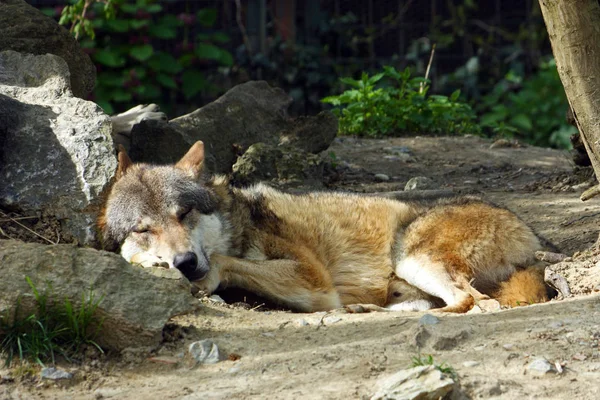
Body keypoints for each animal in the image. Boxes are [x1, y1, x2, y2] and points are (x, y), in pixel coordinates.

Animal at [99, 141, 552, 312]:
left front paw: (205, 278)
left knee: (473, 302)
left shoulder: (313, 279)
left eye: (184, 214)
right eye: (142, 230)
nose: (185, 262)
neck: (240, 223)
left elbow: (227, 263)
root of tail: (531, 233)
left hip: (412, 259)